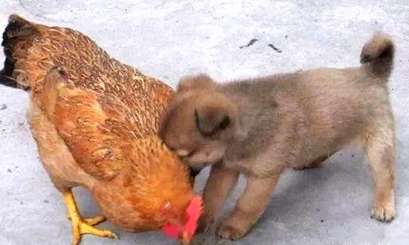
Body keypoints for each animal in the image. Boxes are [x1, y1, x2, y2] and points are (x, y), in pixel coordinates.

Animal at [159, 33, 396, 241]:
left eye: (184, 154)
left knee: (385, 177)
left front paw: (233, 226)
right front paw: (200, 221)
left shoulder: (263, 177)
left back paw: (384, 205)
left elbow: (247, 205)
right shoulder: (225, 169)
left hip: (378, 146)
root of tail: (372, 74)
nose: (185, 177)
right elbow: (212, 197)